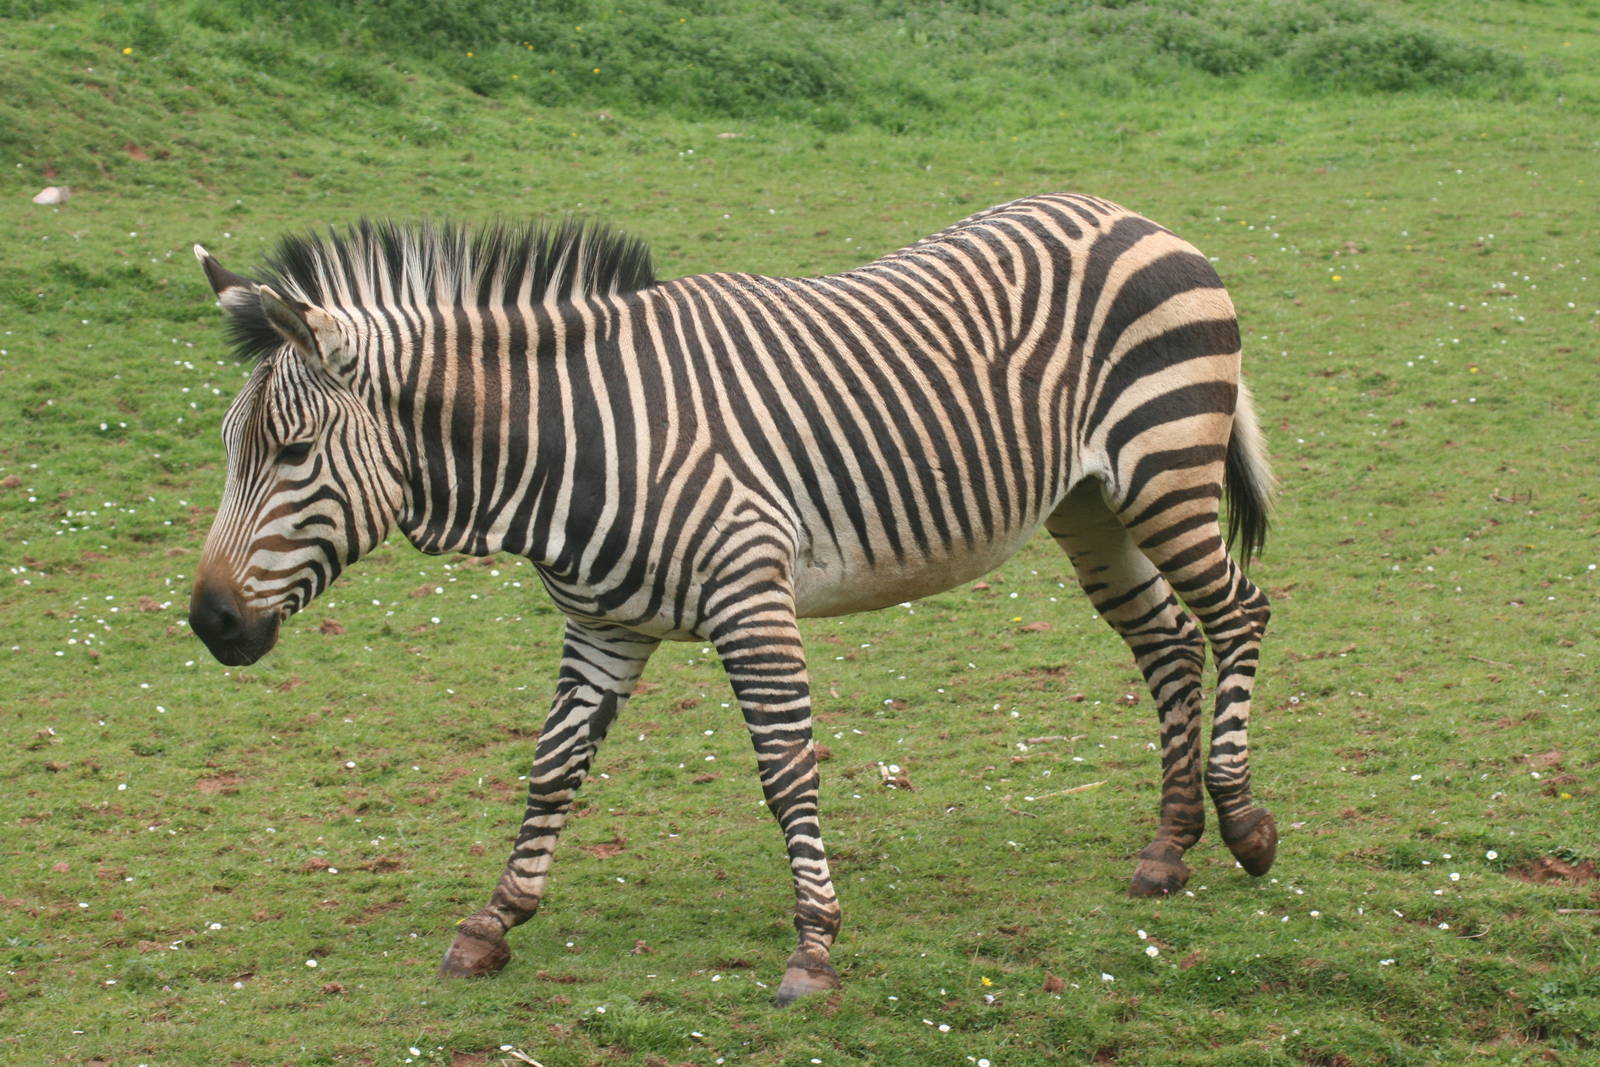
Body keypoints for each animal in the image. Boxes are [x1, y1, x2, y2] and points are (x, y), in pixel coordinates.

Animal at [187, 194, 1276, 1004]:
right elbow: (551, 769)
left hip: (1163, 467)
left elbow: (787, 771)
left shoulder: (750, 598)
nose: (209, 621)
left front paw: (814, 947)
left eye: (293, 452)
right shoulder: (603, 625)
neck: (572, 443)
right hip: (1090, 503)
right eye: (234, 450)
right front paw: (492, 920)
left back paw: (1241, 821)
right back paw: (1168, 845)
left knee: (1239, 612)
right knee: (1169, 641)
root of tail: (1130, 212)